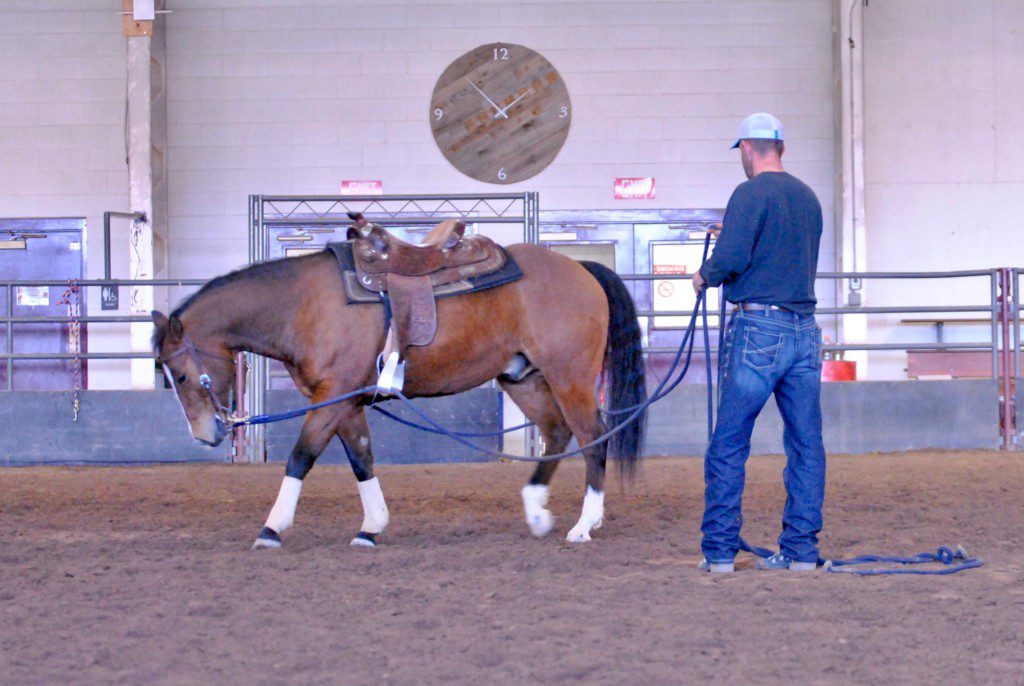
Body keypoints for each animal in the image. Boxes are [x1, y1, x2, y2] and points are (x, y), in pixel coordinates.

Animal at [151, 228, 647, 552]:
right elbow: (361, 458)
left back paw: (585, 524)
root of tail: (580, 268)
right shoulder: (346, 401)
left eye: (179, 375)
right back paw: (538, 511)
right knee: (556, 433)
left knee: (591, 437)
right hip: (522, 378)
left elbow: (300, 457)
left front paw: (272, 528)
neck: (304, 304)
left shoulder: (330, 397)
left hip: (570, 376)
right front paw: (371, 527)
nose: (205, 434)